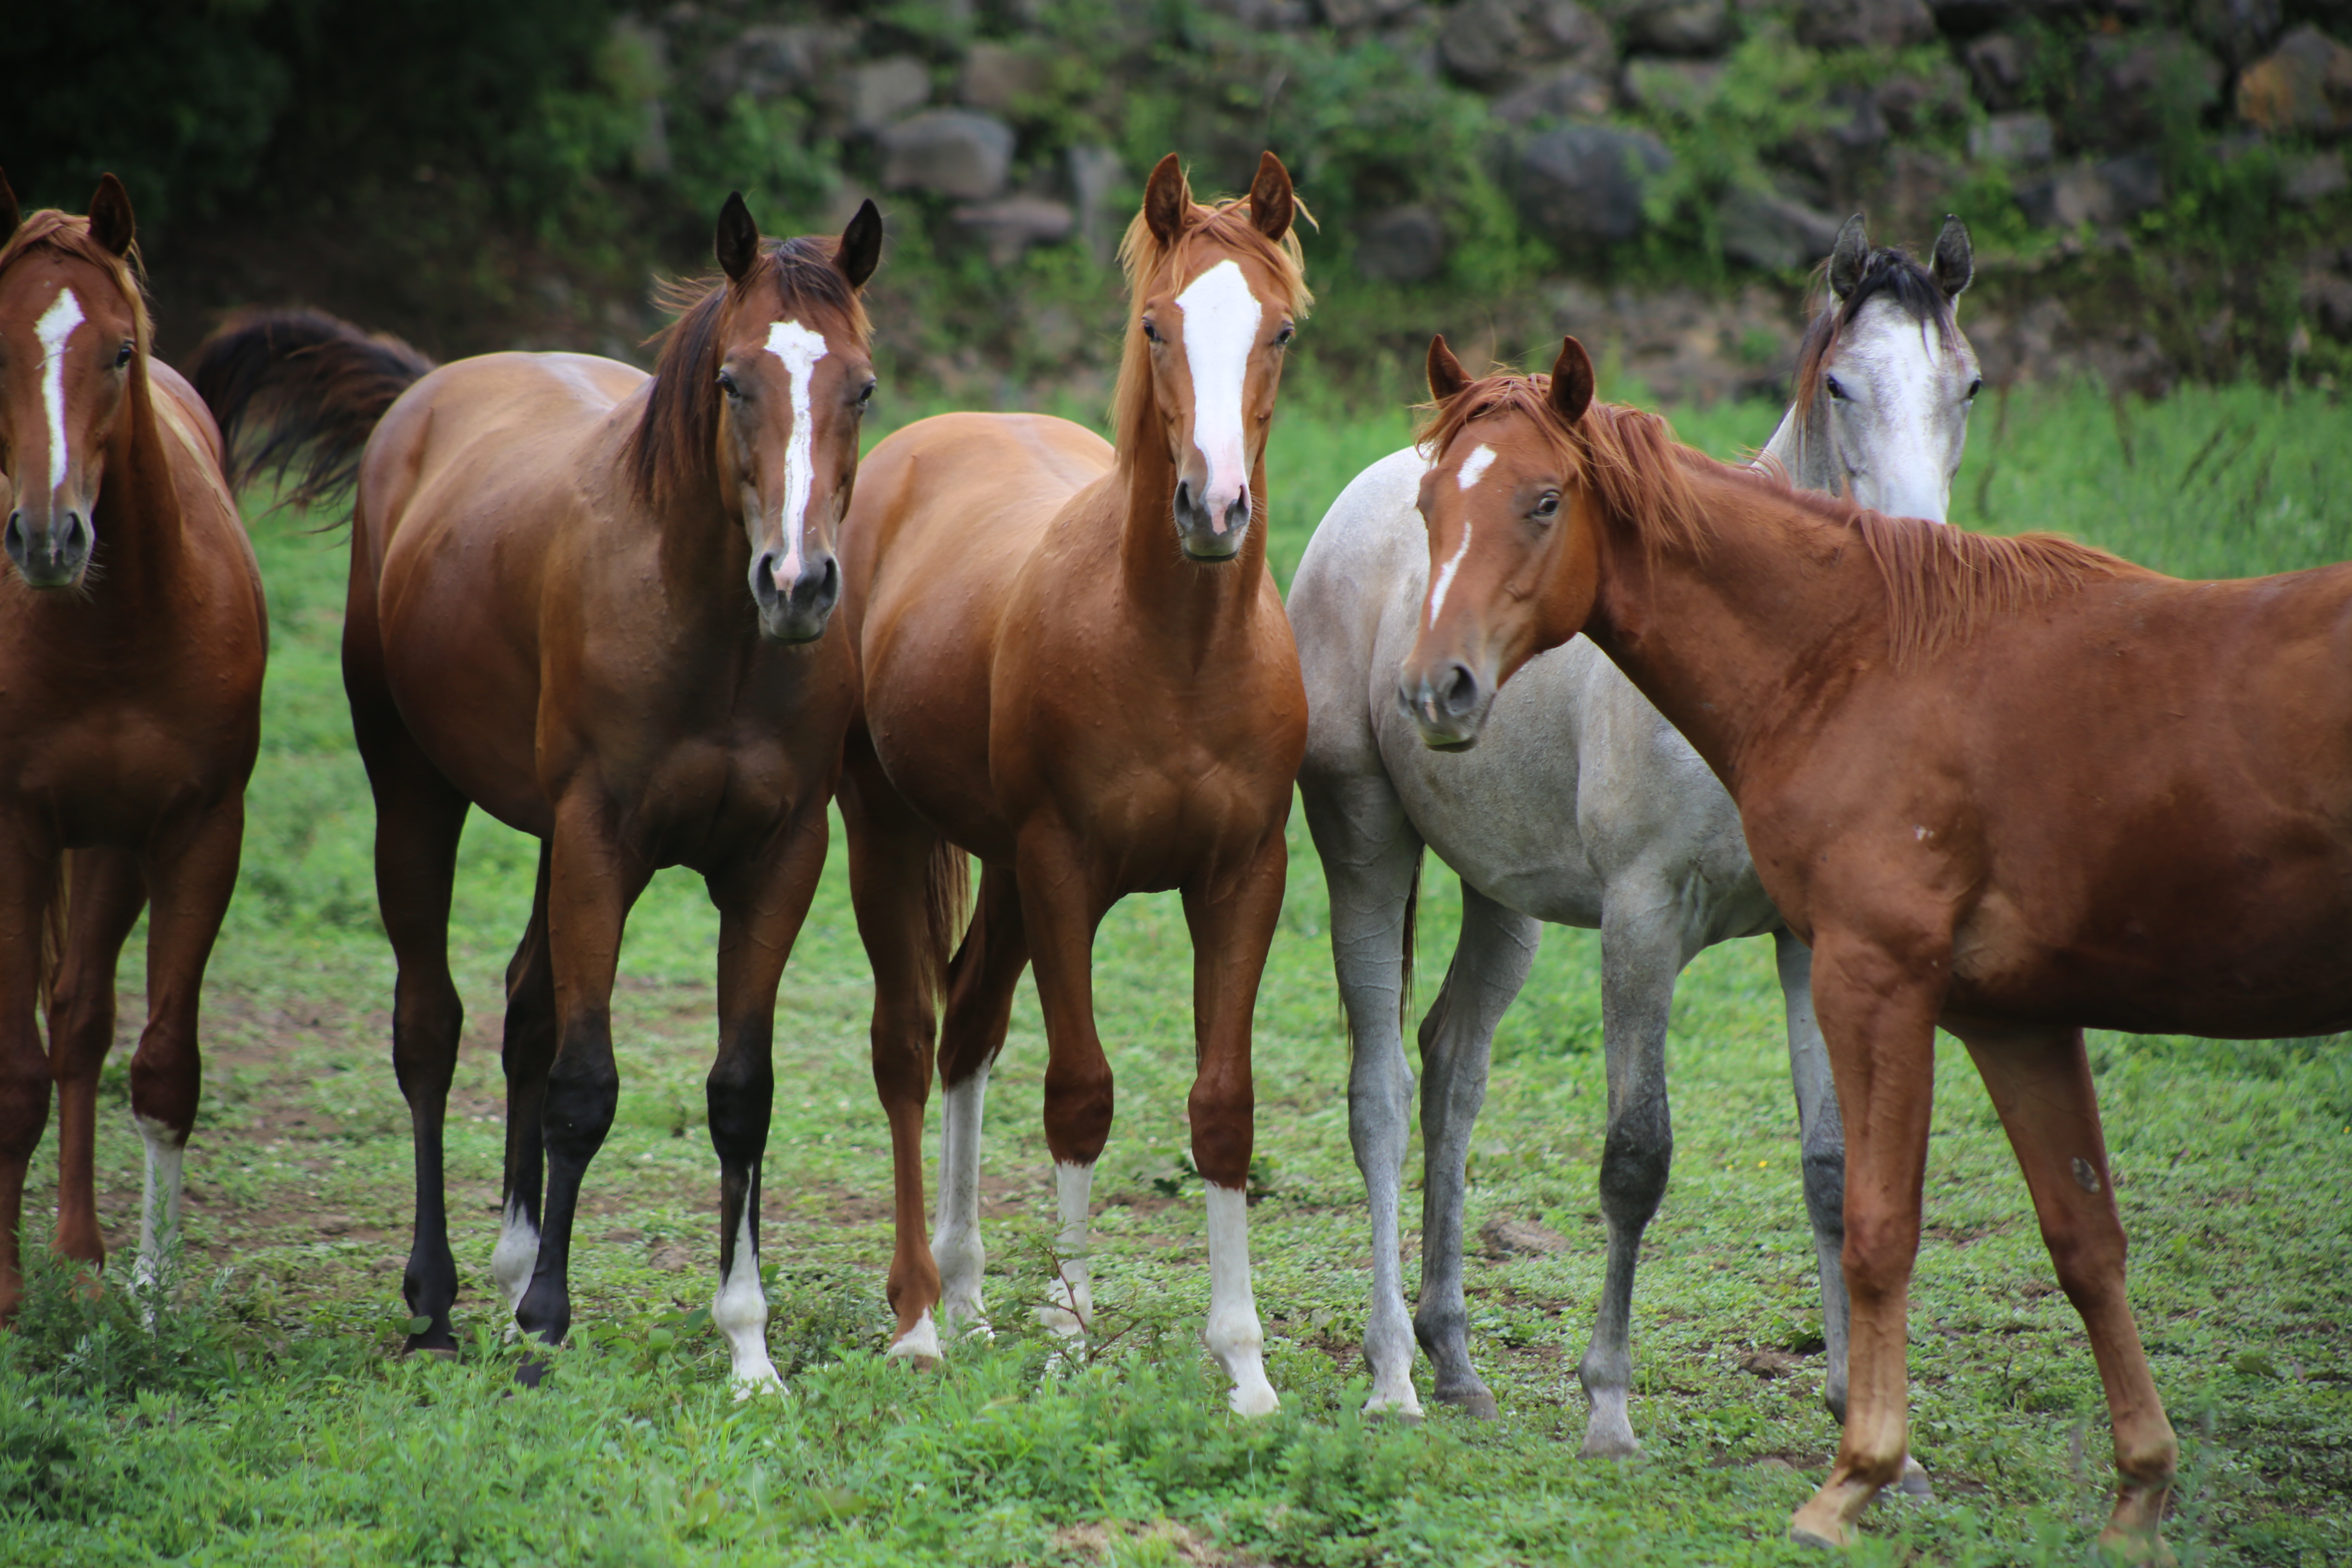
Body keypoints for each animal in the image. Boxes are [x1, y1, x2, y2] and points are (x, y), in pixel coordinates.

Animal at [190, 196, 884, 1382]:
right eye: (733, 382)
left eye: (864, 388)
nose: (797, 584)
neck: (714, 637)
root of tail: (430, 386)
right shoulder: (601, 839)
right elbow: (584, 1084)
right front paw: (549, 1322)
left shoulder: (777, 859)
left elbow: (739, 1094)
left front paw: (747, 1343)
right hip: (416, 794)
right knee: (431, 1029)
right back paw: (438, 1299)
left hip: (556, 843)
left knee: (523, 1005)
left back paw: (511, 1264)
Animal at [842, 153, 1326, 1420]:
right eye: (1156, 324)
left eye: (1282, 330)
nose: (1213, 508)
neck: (1173, 650)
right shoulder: (1065, 872)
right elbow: (1080, 1092)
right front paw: (1069, 1331)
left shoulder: (1243, 879)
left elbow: (1221, 1108)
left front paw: (1244, 1364)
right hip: (887, 830)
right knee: (909, 1043)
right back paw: (923, 1322)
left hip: (1002, 870)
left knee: (967, 1032)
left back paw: (967, 1297)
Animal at [1298, 215, 1976, 1467]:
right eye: (1841, 385)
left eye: (1967, 384)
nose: (1916, 556)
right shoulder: (1642, 920)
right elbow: (1634, 1157)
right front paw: (1607, 1404)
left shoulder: (1813, 935)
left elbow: (1831, 1163)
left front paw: (1861, 1419)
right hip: (1366, 844)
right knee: (1380, 1093)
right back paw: (1392, 1377)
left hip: (1501, 894)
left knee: (1452, 1067)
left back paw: (1454, 1359)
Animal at [1392, 331, 2352, 1561]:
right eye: (1429, 502)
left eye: (1544, 501)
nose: (1437, 689)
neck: (1865, 656)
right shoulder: (2013, 1017)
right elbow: (2083, 1238)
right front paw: (2138, 1489)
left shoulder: (1873, 979)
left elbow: (1875, 1222)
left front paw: (1857, 1475)